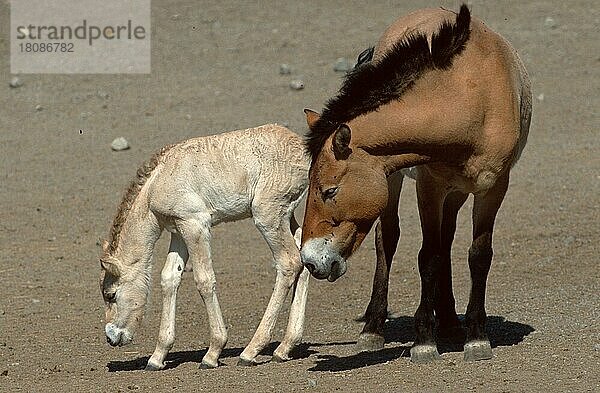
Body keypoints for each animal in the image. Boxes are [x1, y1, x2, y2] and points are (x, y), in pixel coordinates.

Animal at [300, 4, 528, 362]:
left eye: (330, 190)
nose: (309, 261)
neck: (468, 100)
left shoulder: (493, 188)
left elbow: (478, 255)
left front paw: (477, 337)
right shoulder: (429, 186)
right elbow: (428, 256)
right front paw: (424, 340)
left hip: (457, 191)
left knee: (446, 241)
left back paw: (449, 321)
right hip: (395, 178)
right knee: (388, 239)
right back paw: (374, 329)